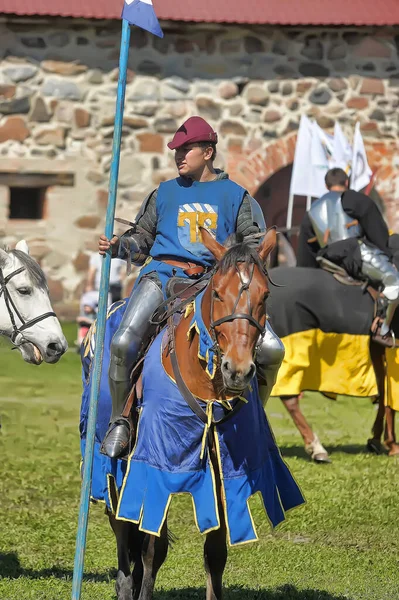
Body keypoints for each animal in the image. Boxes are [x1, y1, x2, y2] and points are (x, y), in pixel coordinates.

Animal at [109, 226, 304, 600]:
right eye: (217, 293)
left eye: (264, 295)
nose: (237, 370)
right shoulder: (157, 459)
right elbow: (151, 547)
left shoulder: (224, 464)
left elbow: (215, 552)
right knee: (124, 529)